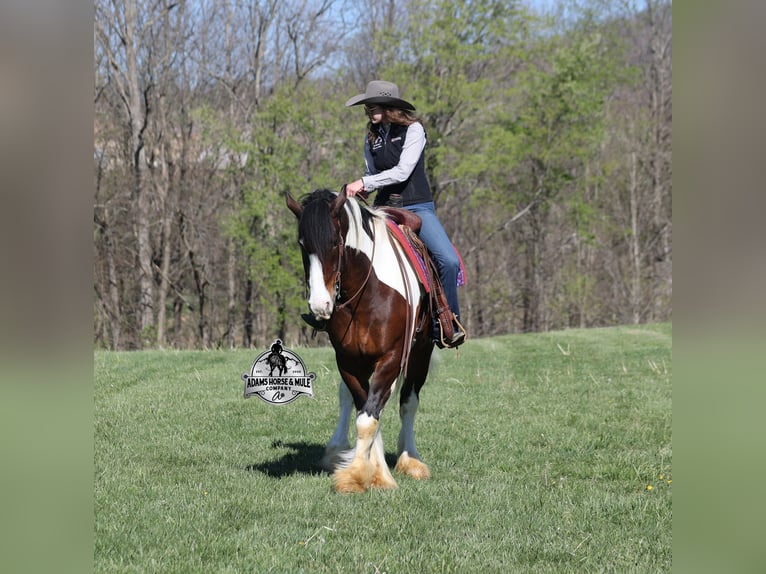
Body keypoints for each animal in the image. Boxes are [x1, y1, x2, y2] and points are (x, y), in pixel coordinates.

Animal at [286, 187, 435, 494]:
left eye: (334, 242)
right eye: (302, 245)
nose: (320, 305)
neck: (368, 292)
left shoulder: (391, 358)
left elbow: (370, 416)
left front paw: (357, 474)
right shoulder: (348, 361)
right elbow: (364, 410)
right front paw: (369, 471)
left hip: (421, 353)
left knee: (408, 402)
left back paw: (411, 460)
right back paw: (336, 450)